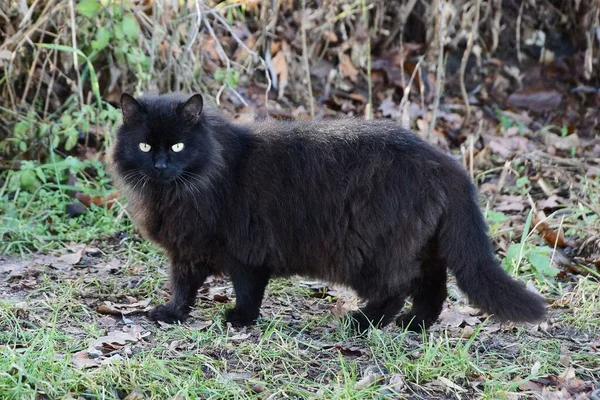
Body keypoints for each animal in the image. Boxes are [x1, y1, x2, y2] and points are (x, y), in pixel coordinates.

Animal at [105, 93, 548, 332]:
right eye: (145, 146)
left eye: (178, 146)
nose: (161, 164)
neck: (176, 193)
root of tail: (445, 161)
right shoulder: (185, 250)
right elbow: (183, 285)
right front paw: (171, 313)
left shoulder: (245, 249)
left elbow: (247, 289)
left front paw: (240, 319)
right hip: (421, 244)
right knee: (432, 285)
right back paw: (415, 323)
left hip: (373, 250)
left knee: (398, 286)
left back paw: (363, 321)